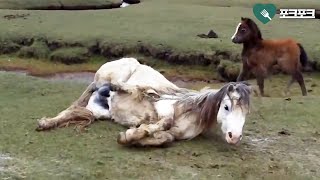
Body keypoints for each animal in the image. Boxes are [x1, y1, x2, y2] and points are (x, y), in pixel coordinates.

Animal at [36, 57, 252, 146]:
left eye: (246, 113)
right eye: (226, 106)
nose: (234, 137)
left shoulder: (173, 135)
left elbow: (165, 139)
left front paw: (133, 137)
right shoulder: (163, 108)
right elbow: (164, 121)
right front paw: (132, 134)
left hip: (99, 110)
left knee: (73, 111)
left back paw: (46, 124)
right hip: (104, 79)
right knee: (119, 86)